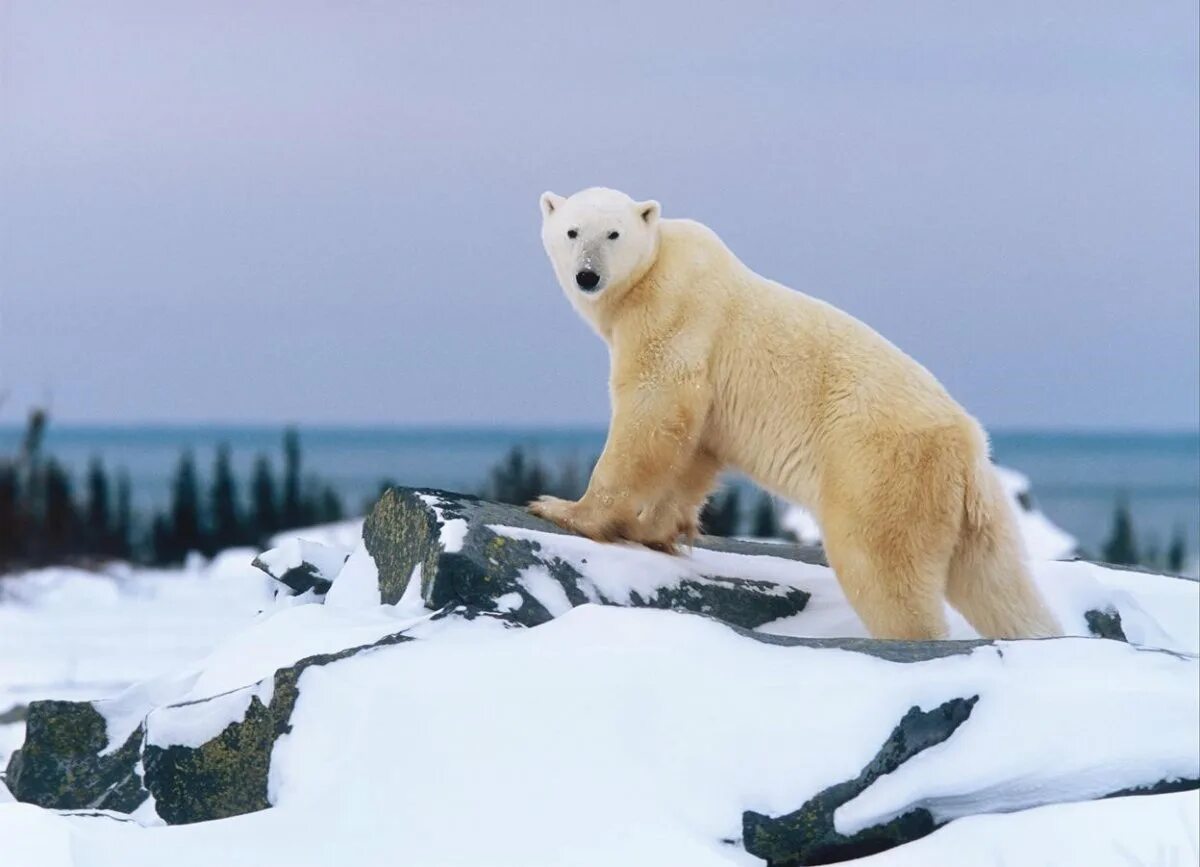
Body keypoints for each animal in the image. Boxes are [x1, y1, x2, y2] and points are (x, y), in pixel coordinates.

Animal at [532, 186, 1060, 638]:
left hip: (881, 471)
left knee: (881, 570)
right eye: (572, 231)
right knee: (999, 583)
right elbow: (696, 449)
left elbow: (654, 412)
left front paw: (565, 509)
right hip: (976, 506)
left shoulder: (674, 315)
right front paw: (655, 530)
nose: (587, 275)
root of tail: (967, 443)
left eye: (613, 234)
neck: (653, 270)